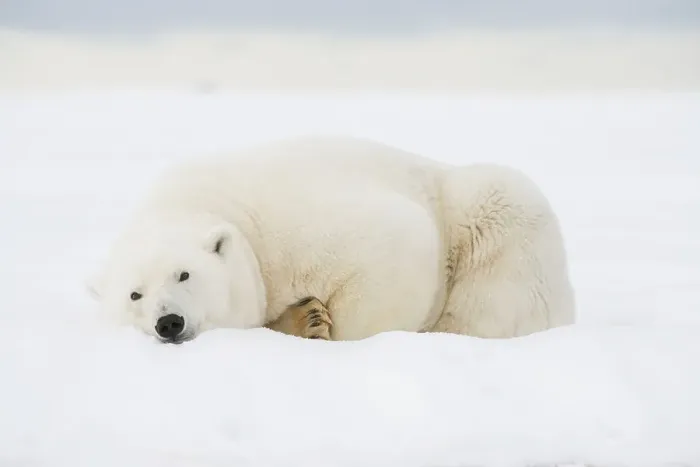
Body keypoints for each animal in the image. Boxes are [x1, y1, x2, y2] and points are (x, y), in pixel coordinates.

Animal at [88, 135, 576, 343]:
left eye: (184, 274)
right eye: (134, 294)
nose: (168, 322)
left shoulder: (288, 225)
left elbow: (398, 243)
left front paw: (320, 325)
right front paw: (305, 318)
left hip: (497, 218)